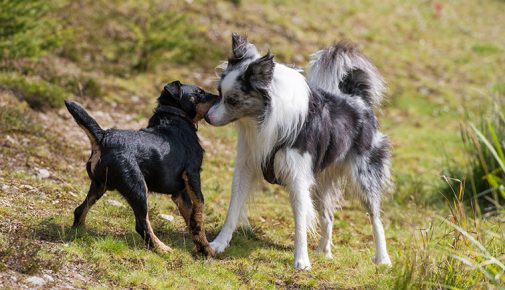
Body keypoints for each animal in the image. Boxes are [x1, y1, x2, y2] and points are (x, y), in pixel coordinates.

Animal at [64, 80, 217, 256]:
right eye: (200, 92)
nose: (218, 96)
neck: (175, 117)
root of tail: (103, 136)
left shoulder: (180, 193)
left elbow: (190, 217)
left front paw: (203, 248)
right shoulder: (192, 175)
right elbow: (199, 211)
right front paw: (207, 249)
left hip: (99, 186)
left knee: (80, 210)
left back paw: (79, 232)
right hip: (137, 187)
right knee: (142, 224)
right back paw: (162, 248)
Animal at [204, 33, 390, 270]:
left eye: (233, 100)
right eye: (219, 93)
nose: (207, 117)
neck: (266, 117)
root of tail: (358, 100)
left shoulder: (297, 177)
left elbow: (300, 220)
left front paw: (301, 261)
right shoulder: (246, 166)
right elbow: (233, 209)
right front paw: (218, 244)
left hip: (364, 177)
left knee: (376, 218)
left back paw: (383, 258)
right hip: (320, 182)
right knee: (328, 216)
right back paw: (323, 252)